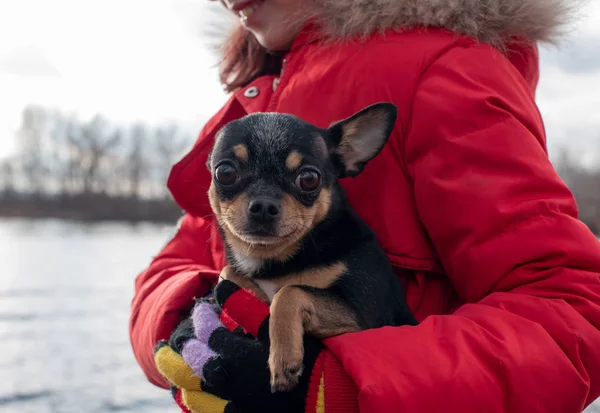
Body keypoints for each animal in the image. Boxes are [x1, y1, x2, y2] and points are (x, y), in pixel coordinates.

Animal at [206, 103, 418, 392]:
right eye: (224, 173)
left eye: (309, 178)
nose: (263, 205)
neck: (277, 261)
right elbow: (228, 272)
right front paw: (254, 296)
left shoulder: (362, 314)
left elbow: (290, 292)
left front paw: (284, 356)